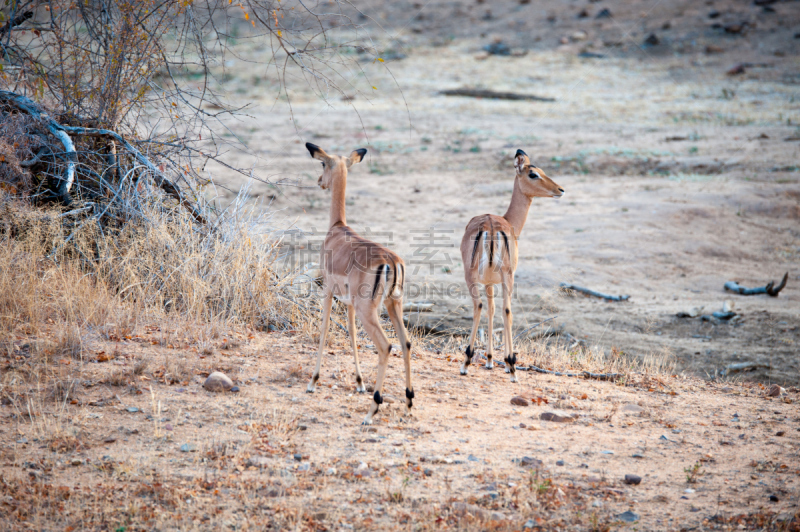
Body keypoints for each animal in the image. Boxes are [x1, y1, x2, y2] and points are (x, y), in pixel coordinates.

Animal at [300, 141, 412, 424]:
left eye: (322, 163)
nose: (320, 181)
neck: (337, 228)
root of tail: (391, 261)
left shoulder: (328, 291)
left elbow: (324, 329)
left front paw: (312, 381)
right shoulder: (349, 302)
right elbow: (350, 333)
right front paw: (360, 383)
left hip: (369, 310)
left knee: (386, 346)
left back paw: (371, 411)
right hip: (392, 305)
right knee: (405, 343)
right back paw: (408, 402)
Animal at [460, 150, 564, 382]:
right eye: (533, 173)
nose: (560, 190)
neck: (509, 222)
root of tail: (490, 226)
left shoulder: (490, 282)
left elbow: (492, 310)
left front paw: (491, 360)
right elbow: (497, 311)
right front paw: (503, 362)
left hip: (482, 278)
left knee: (491, 308)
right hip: (499, 277)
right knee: (499, 309)